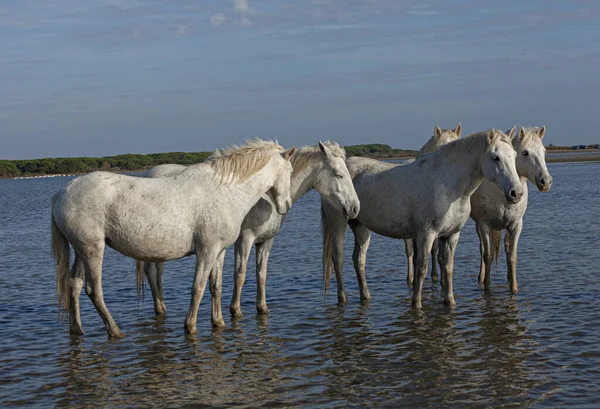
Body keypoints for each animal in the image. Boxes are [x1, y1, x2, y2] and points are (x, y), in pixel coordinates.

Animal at [51, 139, 296, 336]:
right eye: (291, 170)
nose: (285, 206)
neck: (225, 190)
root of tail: (63, 191)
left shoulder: (220, 251)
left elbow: (215, 286)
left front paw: (218, 322)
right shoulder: (206, 251)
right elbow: (197, 287)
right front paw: (190, 326)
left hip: (81, 251)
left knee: (74, 284)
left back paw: (77, 329)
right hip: (93, 251)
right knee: (94, 291)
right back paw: (115, 331)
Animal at [138, 142, 358, 318]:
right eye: (339, 174)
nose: (355, 208)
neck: (266, 197)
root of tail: (150, 173)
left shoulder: (265, 241)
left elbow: (261, 274)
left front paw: (262, 308)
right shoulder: (245, 239)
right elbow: (240, 274)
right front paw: (235, 309)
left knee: (153, 271)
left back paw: (161, 308)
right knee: (152, 271)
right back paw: (161, 307)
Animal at [322, 129, 524, 308]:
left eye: (514, 155)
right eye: (496, 157)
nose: (516, 193)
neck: (448, 186)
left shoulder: (451, 235)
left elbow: (448, 268)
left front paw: (450, 301)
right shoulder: (427, 234)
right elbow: (422, 268)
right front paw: (417, 303)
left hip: (361, 227)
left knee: (359, 261)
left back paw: (365, 296)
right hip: (338, 223)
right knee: (338, 259)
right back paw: (343, 298)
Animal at [472, 126, 552, 292]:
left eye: (544, 151)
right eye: (525, 153)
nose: (546, 182)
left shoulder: (515, 226)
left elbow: (512, 255)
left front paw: (513, 287)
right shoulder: (484, 225)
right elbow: (487, 256)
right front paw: (487, 286)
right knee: (483, 250)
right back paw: (481, 278)